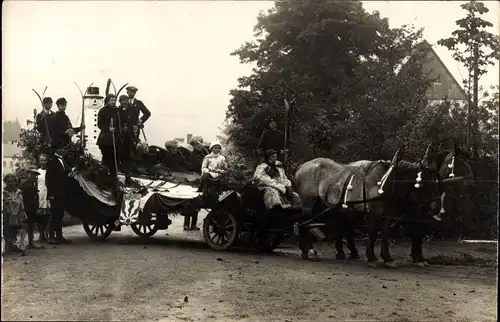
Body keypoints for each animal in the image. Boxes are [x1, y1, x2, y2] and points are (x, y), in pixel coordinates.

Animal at [294, 143, 440, 266]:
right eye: (424, 181)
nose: (434, 205)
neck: (387, 179)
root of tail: (302, 166)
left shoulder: (387, 213)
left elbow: (385, 233)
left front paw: (387, 257)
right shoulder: (375, 211)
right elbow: (373, 232)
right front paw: (372, 257)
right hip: (310, 203)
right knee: (304, 223)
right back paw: (309, 251)